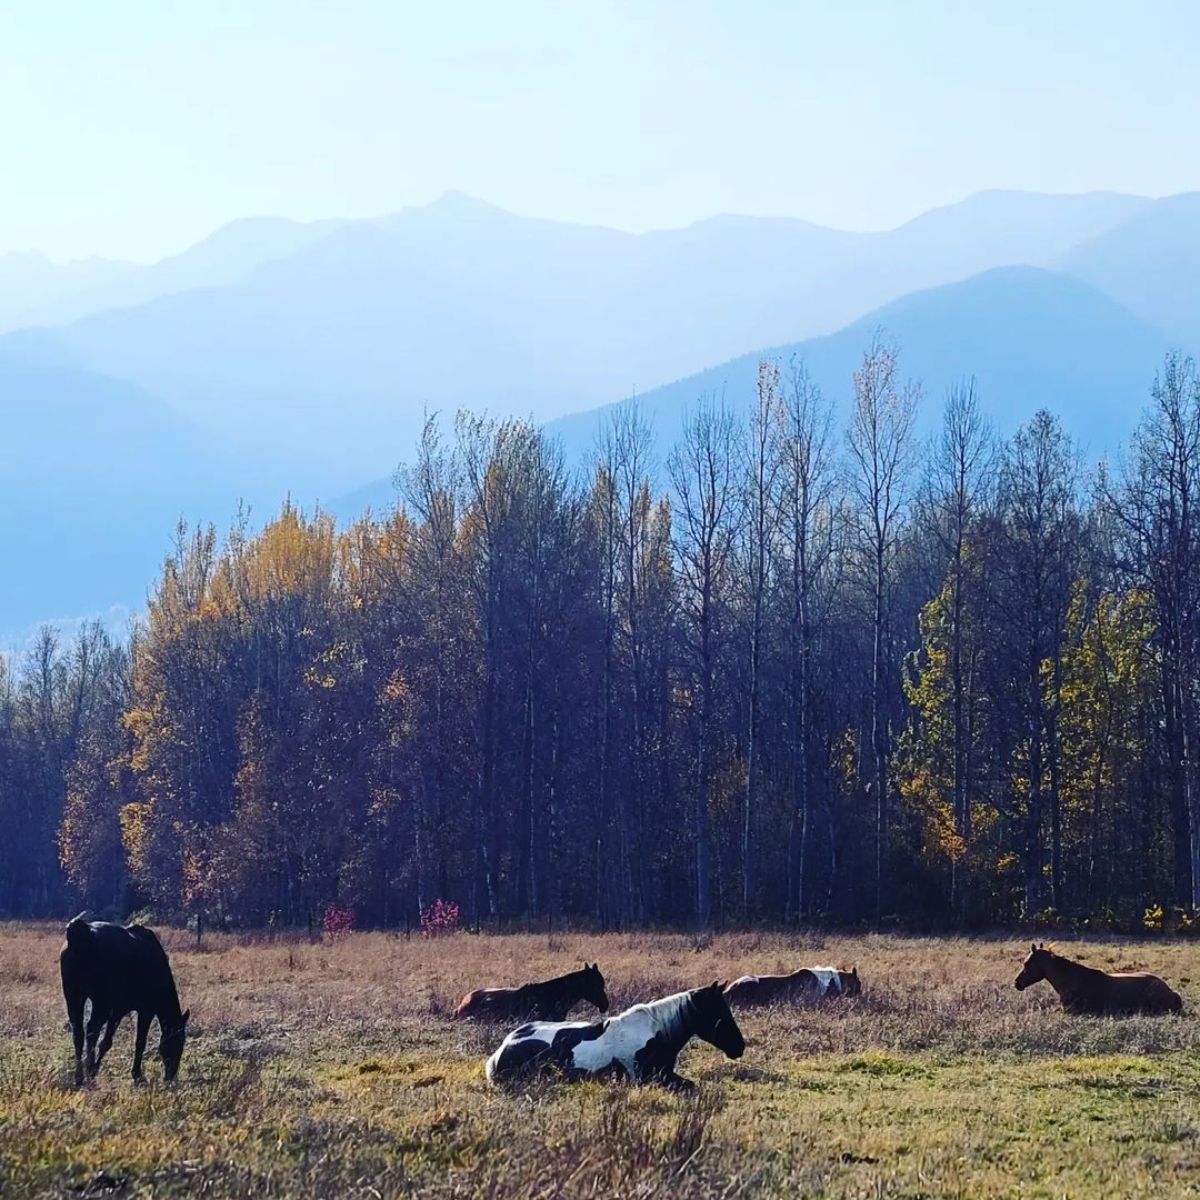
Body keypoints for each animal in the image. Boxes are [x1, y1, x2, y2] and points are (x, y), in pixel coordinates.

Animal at [59, 916, 189, 1089]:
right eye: (178, 1044)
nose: (170, 1076)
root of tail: (81, 933)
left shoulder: (118, 1010)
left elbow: (106, 1042)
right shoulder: (142, 1010)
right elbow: (138, 1042)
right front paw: (137, 1075)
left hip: (73, 996)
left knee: (79, 1033)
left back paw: (79, 1076)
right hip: (100, 1003)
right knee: (92, 1030)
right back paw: (89, 1072)